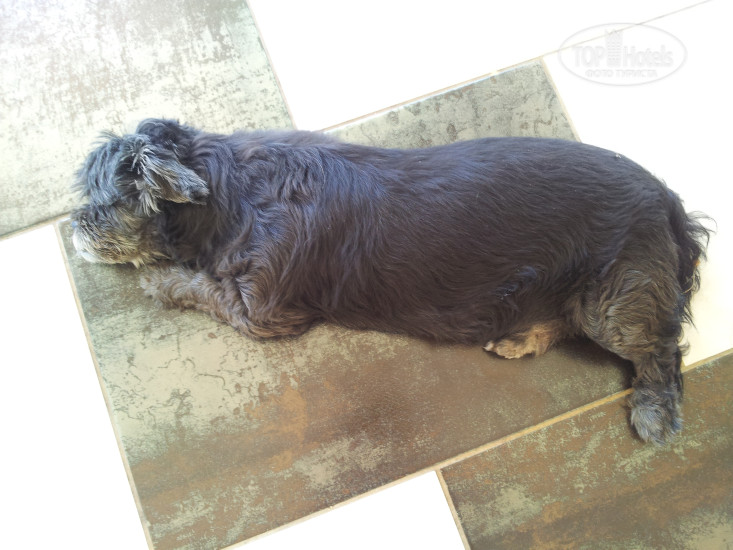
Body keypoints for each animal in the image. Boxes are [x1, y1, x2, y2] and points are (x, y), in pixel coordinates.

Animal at [72, 118, 710, 445]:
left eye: (100, 204)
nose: (73, 228)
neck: (229, 187)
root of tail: (668, 200)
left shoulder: (261, 309)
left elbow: (195, 285)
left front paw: (158, 277)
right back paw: (522, 336)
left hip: (617, 298)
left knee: (662, 350)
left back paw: (654, 410)